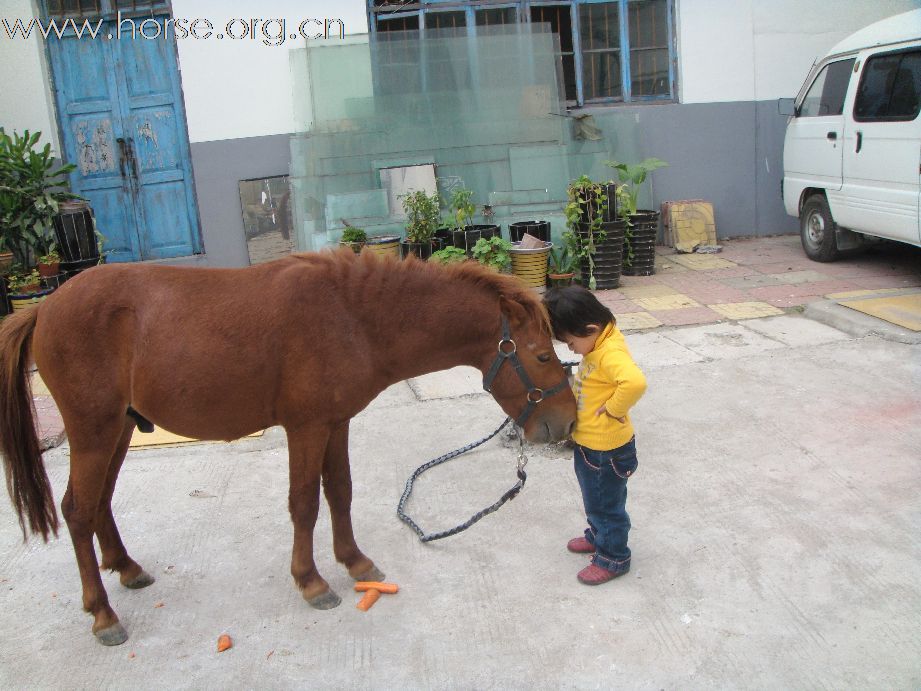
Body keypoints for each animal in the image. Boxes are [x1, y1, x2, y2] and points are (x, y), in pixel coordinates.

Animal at [0, 250, 576, 648]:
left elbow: (339, 491)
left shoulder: (336, 424)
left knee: (100, 504)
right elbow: (304, 503)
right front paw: (312, 582)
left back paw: (126, 568)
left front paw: (355, 562)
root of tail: (46, 308)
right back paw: (103, 614)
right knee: (78, 510)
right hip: (92, 432)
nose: (567, 424)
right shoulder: (306, 428)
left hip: (117, 430)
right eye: (544, 356)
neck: (351, 318)